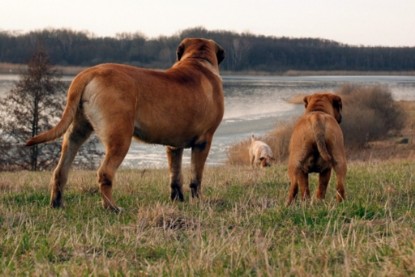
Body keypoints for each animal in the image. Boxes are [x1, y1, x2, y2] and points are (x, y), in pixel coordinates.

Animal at [26, 37, 226, 210]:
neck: (198, 60)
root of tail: (90, 73)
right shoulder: (203, 142)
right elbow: (196, 178)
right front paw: (198, 201)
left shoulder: (173, 147)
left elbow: (176, 177)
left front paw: (178, 201)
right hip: (120, 137)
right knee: (105, 173)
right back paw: (112, 208)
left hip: (76, 132)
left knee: (60, 171)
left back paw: (57, 204)